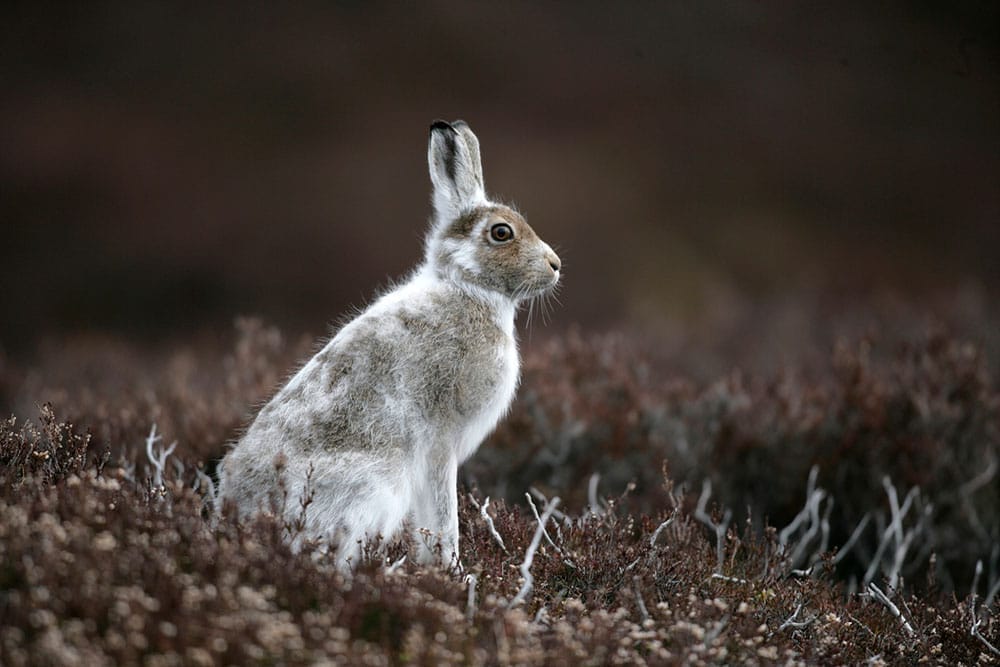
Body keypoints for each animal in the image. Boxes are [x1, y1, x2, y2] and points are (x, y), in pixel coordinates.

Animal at [215, 120, 561, 569]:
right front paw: (452, 570)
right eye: (501, 233)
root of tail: (241, 516)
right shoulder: (440, 442)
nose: (555, 265)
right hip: (375, 484)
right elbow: (443, 513)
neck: (466, 287)